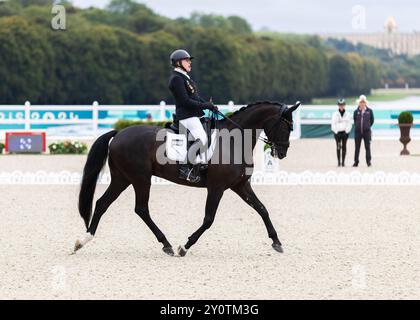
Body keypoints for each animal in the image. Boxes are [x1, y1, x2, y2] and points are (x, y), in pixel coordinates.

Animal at [74, 101, 298, 256]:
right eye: (286, 127)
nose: (282, 153)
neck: (233, 140)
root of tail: (119, 133)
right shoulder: (216, 188)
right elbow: (208, 219)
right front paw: (185, 246)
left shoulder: (240, 185)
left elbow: (262, 209)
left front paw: (277, 242)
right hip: (140, 179)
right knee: (141, 209)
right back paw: (167, 245)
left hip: (122, 179)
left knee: (102, 203)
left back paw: (82, 240)